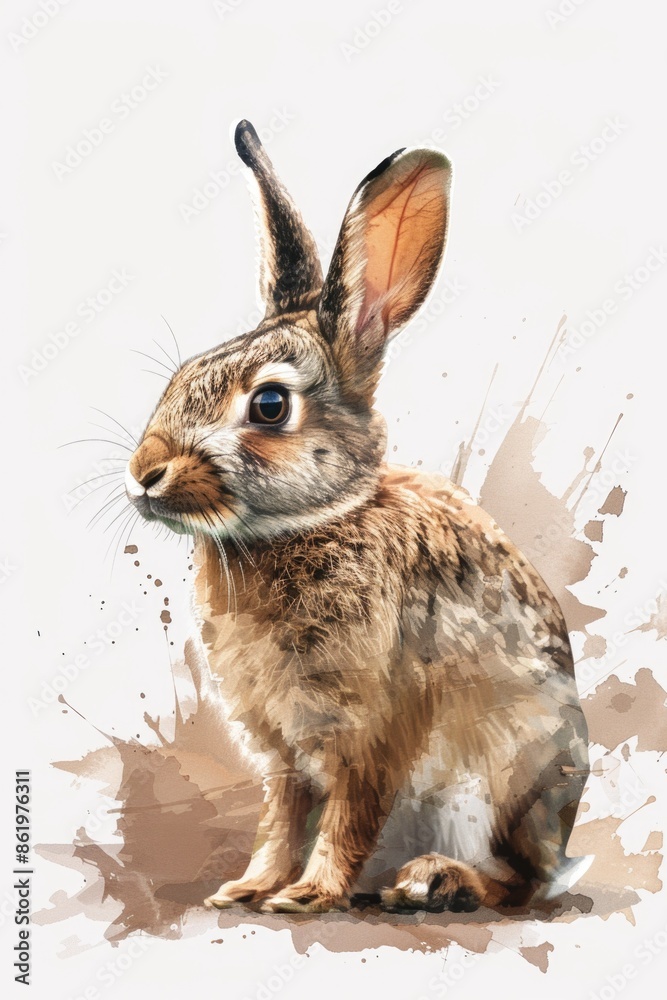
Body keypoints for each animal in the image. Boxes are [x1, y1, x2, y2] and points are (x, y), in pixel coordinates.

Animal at [124, 119, 591, 914]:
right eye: (181, 377)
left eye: (269, 405)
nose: (144, 473)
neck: (313, 521)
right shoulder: (281, 750)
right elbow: (281, 819)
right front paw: (246, 887)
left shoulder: (369, 730)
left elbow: (347, 815)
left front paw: (307, 895)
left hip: (501, 781)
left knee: (519, 884)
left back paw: (436, 881)